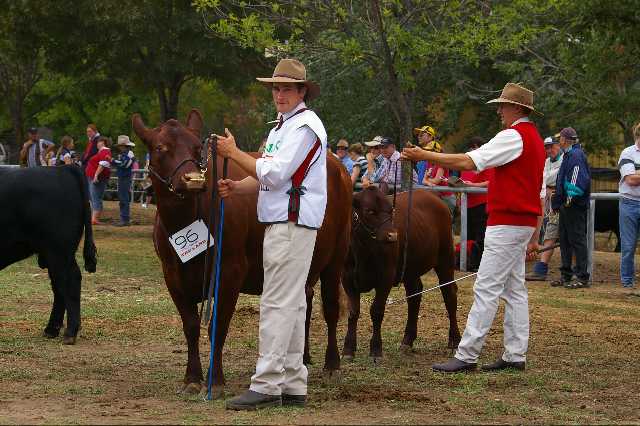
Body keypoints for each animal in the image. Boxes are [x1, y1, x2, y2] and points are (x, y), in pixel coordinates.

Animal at [0, 165, 96, 344]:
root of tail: (61, 168)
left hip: (58, 250)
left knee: (69, 282)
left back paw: (70, 332)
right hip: (54, 254)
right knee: (59, 288)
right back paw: (52, 329)